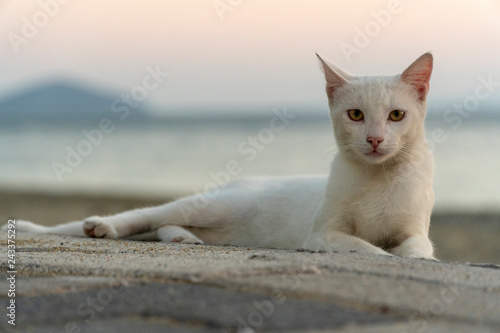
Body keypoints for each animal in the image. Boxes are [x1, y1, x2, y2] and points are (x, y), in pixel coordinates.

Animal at [9, 52, 436, 260]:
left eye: (396, 116)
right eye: (356, 115)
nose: (376, 139)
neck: (378, 178)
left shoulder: (415, 231)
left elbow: (416, 250)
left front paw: (416, 260)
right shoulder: (323, 233)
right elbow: (369, 248)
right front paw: (385, 253)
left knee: (167, 224)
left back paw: (184, 239)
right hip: (217, 204)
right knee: (148, 215)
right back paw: (103, 226)